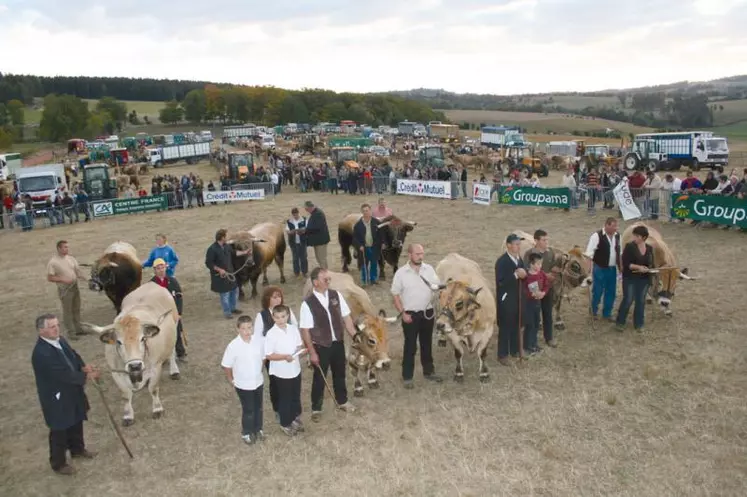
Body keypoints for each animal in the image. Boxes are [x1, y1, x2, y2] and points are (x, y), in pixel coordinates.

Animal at [81, 280, 180, 424]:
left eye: (143, 338)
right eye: (118, 342)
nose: (135, 365)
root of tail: (151, 284)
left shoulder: (156, 367)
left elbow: (153, 389)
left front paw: (157, 409)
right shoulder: (116, 373)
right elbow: (126, 395)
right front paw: (128, 415)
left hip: (175, 329)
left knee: (172, 352)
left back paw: (174, 371)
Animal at [432, 254, 496, 382]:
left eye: (459, 303)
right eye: (441, 297)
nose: (440, 324)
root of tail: (452, 254)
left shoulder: (488, 330)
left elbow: (482, 353)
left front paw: (484, 373)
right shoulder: (452, 334)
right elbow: (458, 353)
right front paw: (458, 373)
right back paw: (441, 338)